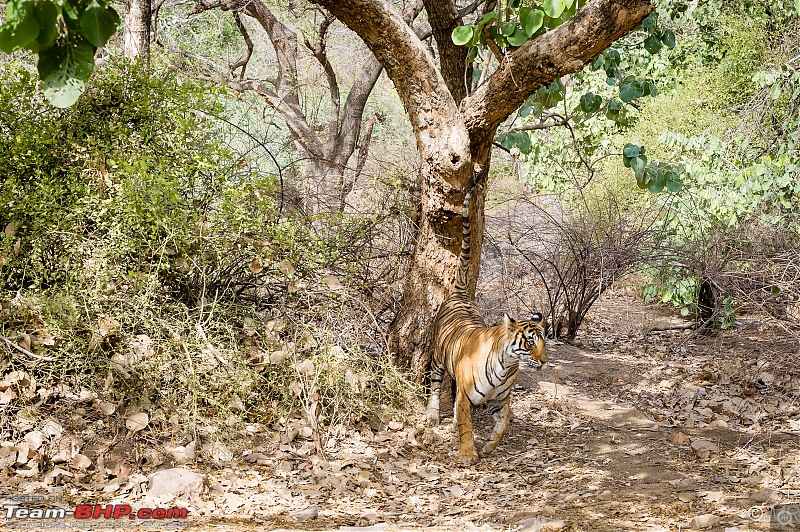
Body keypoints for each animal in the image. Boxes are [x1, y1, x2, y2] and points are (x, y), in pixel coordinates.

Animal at [424, 175, 552, 462]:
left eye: (544, 342)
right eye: (530, 342)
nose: (543, 361)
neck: (508, 367)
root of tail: (460, 293)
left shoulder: (501, 401)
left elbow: (503, 425)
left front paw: (489, 447)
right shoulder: (465, 395)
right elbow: (465, 424)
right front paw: (468, 453)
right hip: (437, 358)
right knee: (435, 387)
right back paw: (432, 415)